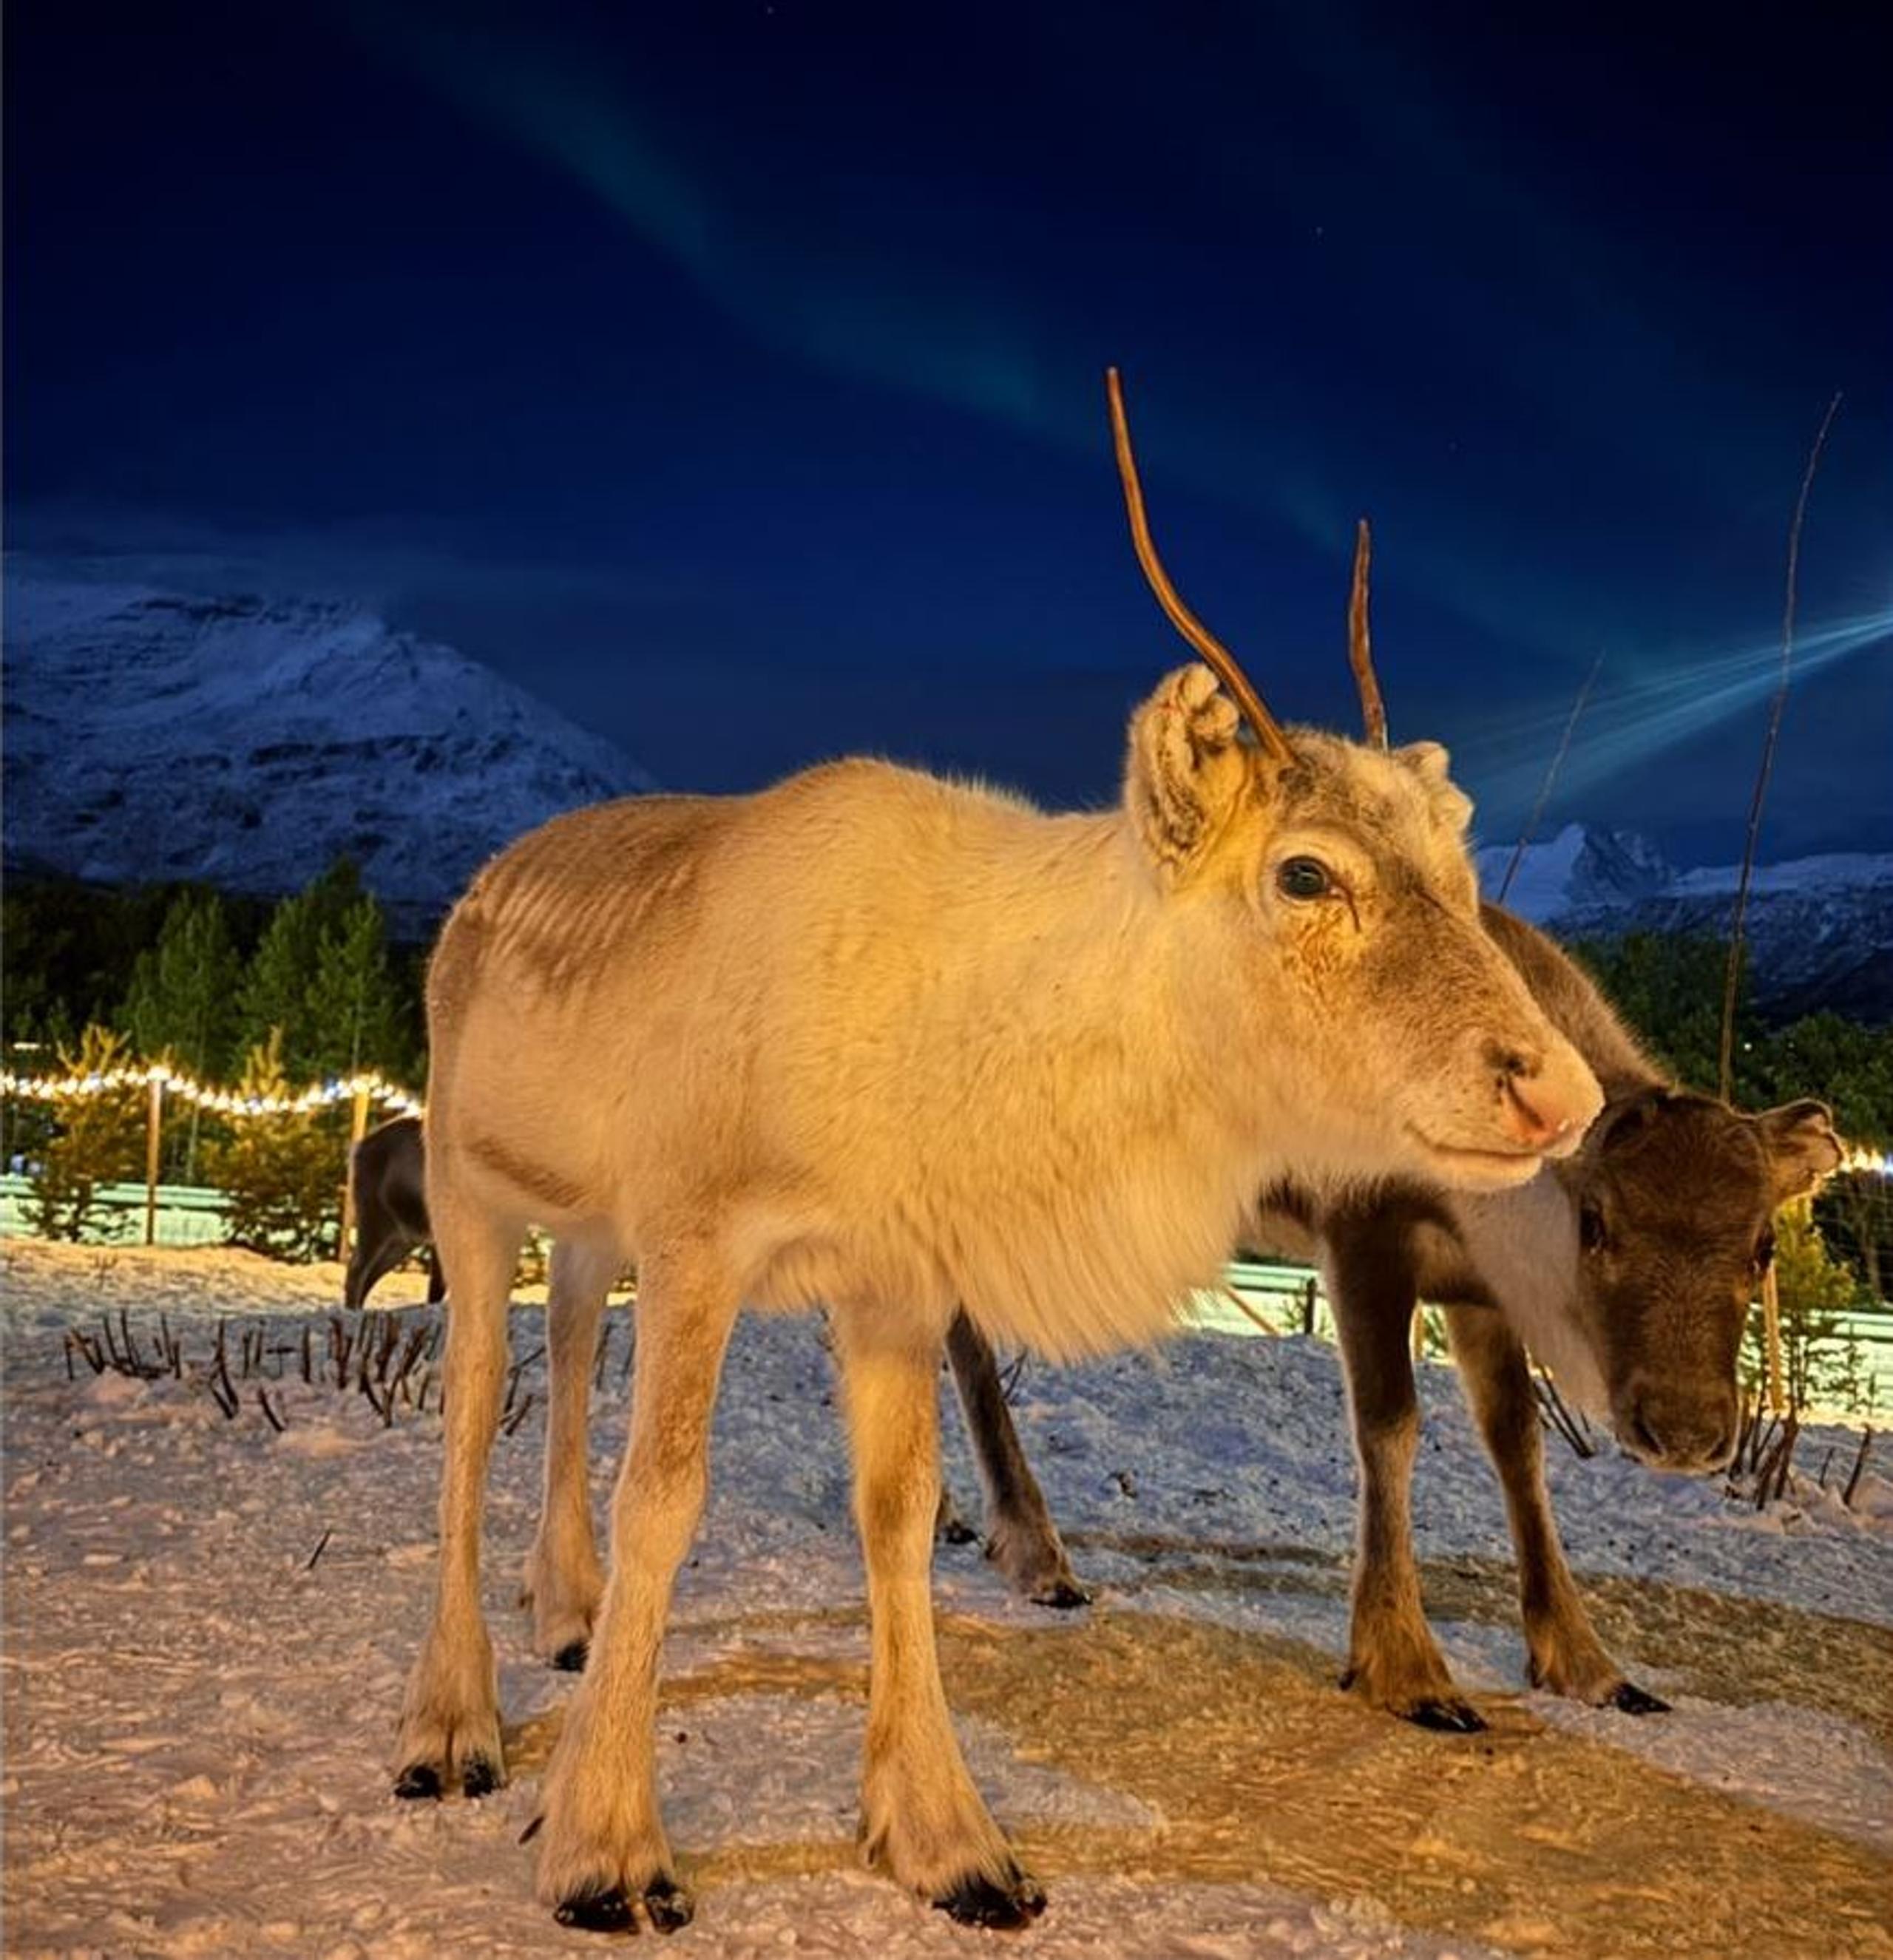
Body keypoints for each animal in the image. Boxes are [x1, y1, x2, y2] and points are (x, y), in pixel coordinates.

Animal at [390, 370, 1604, 1936]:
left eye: (1460, 871)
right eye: (1305, 872)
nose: (1559, 1090)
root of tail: (479, 894)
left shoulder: (891, 1282)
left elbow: (902, 1515)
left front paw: (946, 1836)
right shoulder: (701, 1236)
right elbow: (664, 1495)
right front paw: (603, 1841)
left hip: (591, 1229)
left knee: (569, 1362)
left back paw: (570, 1611)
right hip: (471, 1192)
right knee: (474, 1407)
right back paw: (451, 1721)